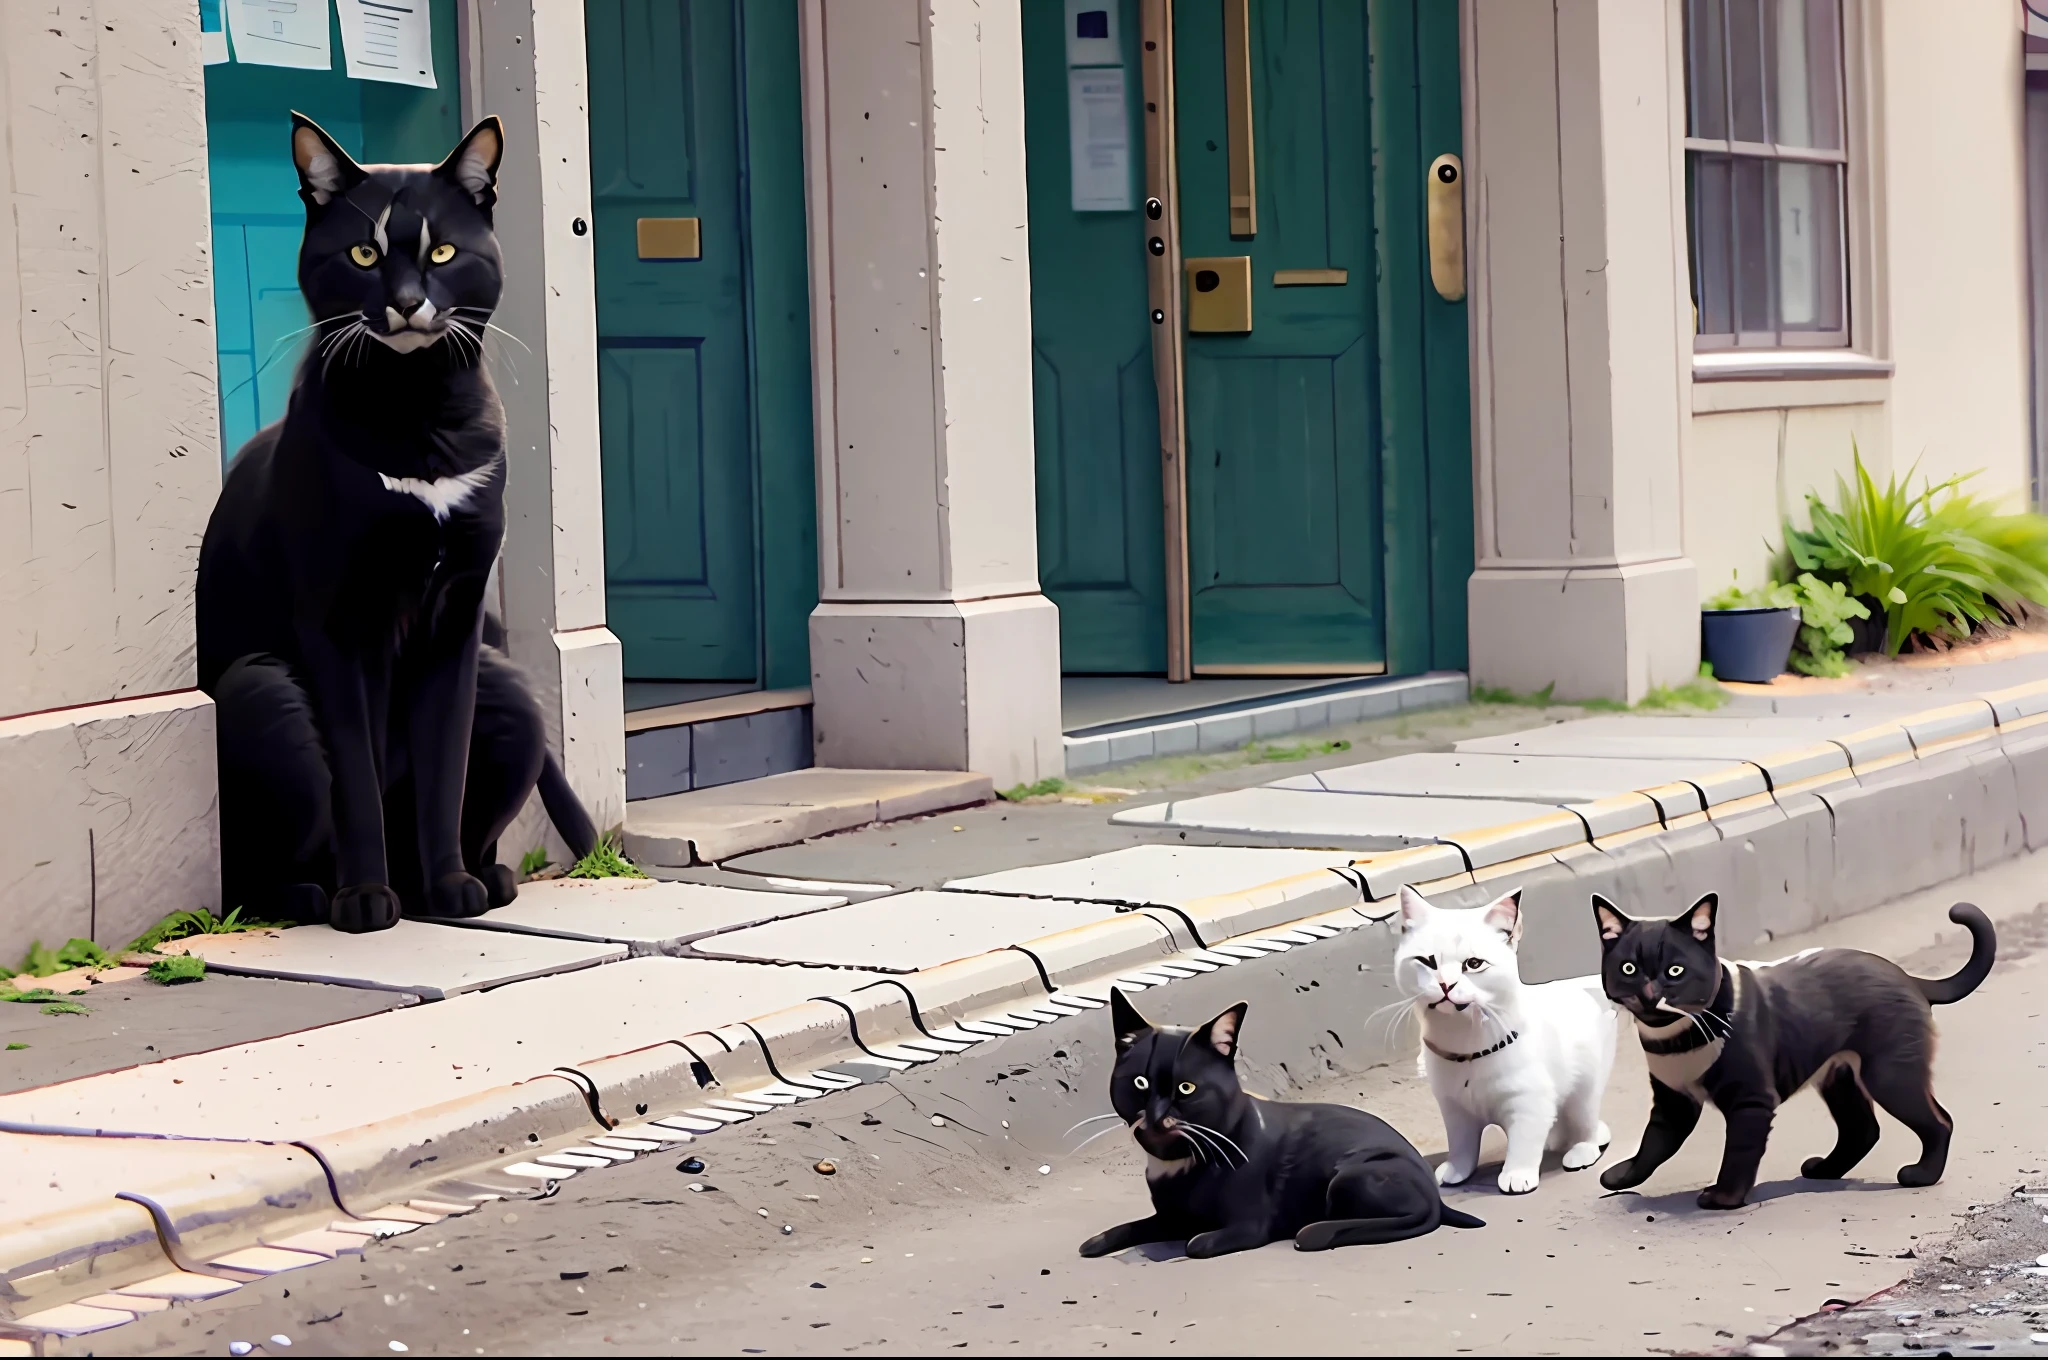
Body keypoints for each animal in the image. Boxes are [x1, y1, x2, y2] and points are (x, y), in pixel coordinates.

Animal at [196, 114, 593, 933]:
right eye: (363, 253)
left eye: (443, 251)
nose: (408, 301)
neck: (419, 411)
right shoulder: (334, 622)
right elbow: (355, 775)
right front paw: (365, 900)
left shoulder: (458, 619)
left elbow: (444, 767)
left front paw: (450, 889)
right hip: (262, 691)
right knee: (260, 869)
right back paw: (322, 896)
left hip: (512, 693)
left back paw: (467, 879)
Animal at [1073, 987, 1490, 1253]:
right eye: (1139, 1083)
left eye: (1186, 1088)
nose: (1158, 1115)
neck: (1182, 1159)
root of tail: (1434, 1191)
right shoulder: (1170, 1218)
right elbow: (1132, 1227)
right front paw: (1099, 1241)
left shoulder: (1247, 1226)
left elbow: (1196, 1244)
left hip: (1350, 1176)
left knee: (1417, 1216)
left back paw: (1319, 1231)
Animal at [1400, 880, 1622, 1187]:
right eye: (1427, 961)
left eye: (1473, 964)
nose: (1446, 984)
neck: (1467, 1047)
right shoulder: (1455, 1111)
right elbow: (1462, 1146)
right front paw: (1457, 1170)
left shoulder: (1528, 1102)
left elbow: (1522, 1143)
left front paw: (1517, 1175)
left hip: (1584, 1092)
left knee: (1587, 1128)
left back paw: (1580, 1151)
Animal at [1589, 893, 1990, 1212]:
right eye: (1629, 968)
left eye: (1675, 971)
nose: (1649, 994)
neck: (1675, 1038)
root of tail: (1910, 978)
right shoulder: (1673, 1102)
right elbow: (1653, 1143)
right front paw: (1621, 1176)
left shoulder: (1751, 1101)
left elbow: (1739, 1151)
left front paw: (1724, 1198)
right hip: (1840, 1075)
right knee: (1862, 1129)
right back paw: (1825, 1170)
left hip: (1889, 1075)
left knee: (1939, 1121)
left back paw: (1921, 1175)